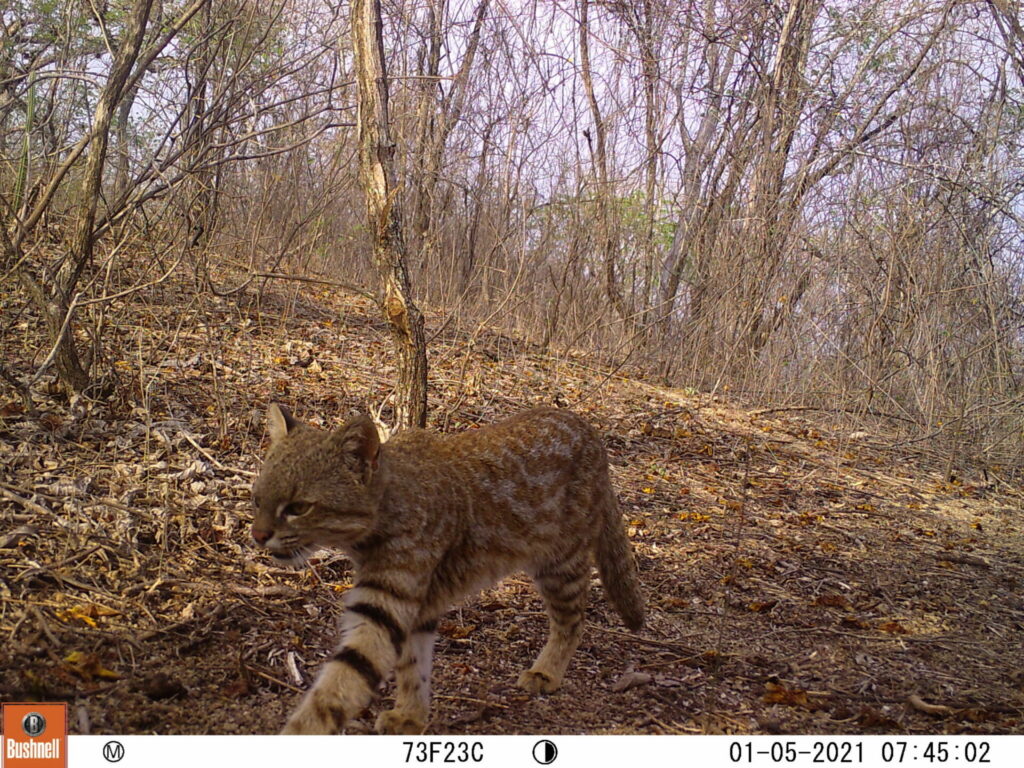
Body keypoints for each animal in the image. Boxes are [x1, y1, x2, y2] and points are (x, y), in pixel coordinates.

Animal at [248, 405, 643, 737]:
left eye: (299, 507)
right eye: (257, 500)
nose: (258, 535)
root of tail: (586, 427)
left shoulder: (385, 608)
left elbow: (335, 691)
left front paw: (299, 733)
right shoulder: (415, 609)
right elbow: (413, 667)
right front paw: (411, 716)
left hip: (560, 564)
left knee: (574, 620)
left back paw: (547, 671)